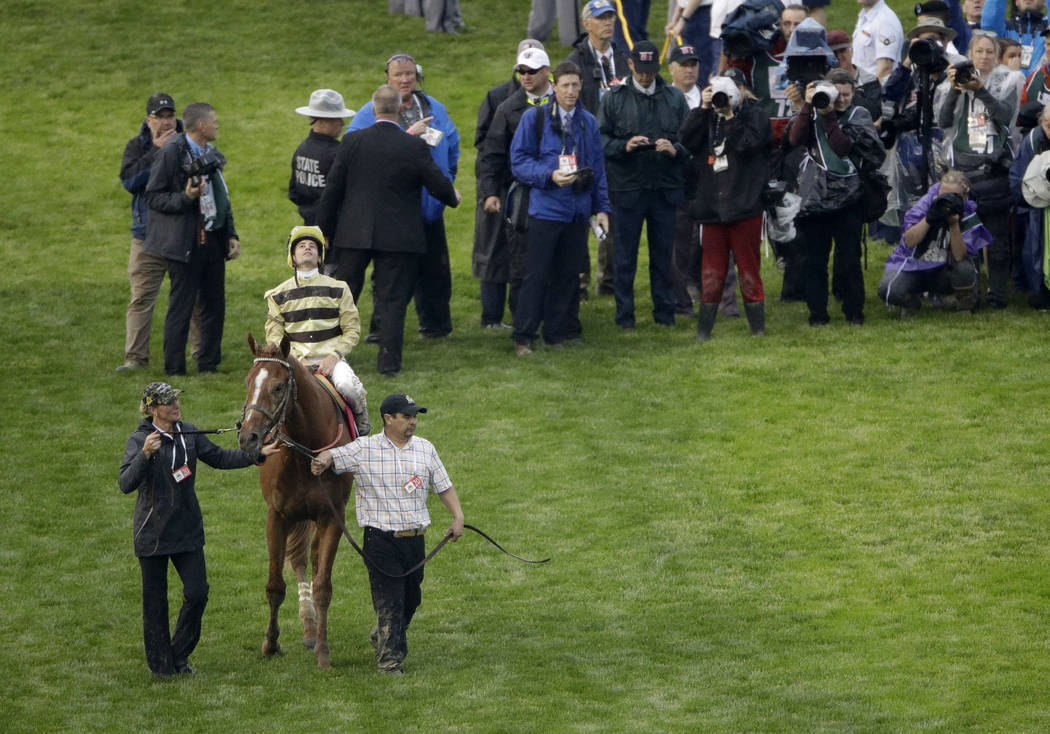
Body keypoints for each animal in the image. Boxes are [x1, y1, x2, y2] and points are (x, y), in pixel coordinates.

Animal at [237, 336, 352, 667]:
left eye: (278, 387)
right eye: (248, 382)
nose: (248, 437)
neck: (305, 451)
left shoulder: (332, 516)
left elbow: (323, 586)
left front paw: (323, 651)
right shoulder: (277, 515)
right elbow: (275, 585)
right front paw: (270, 644)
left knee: (311, 560)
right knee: (300, 559)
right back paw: (307, 626)